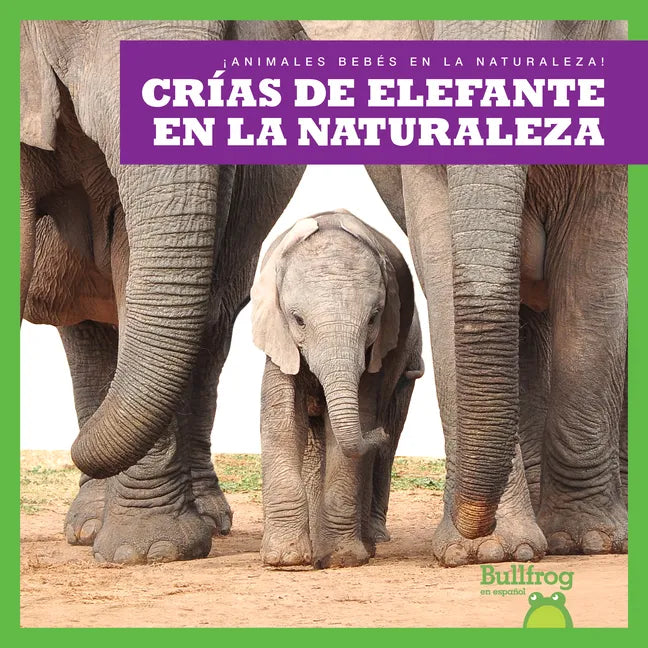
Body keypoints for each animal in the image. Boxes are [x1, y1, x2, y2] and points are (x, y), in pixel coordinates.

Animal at [20, 20, 307, 564]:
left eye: (228, 29)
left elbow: (132, 262)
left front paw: (149, 553)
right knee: (89, 336)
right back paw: (88, 524)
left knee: (206, 336)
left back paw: (203, 522)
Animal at [250, 211, 423, 568]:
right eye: (298, 320)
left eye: (373, 319)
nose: (376, 434)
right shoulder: (278, 337)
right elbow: (283, 422)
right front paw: (286, 559)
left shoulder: (378, 351)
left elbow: (356, 418)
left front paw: (342, 558)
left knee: (387, 443)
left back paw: (367, 542)